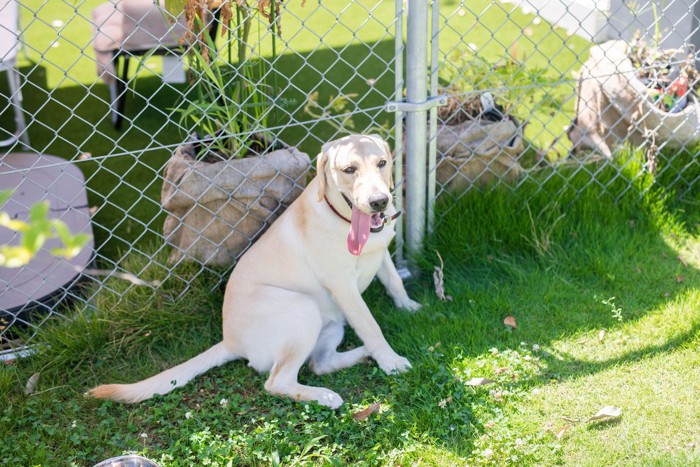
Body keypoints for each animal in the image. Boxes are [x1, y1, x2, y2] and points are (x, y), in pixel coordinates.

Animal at [92, 134, 422, 410]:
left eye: (382, 163)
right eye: (349, 169)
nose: (379, 202)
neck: (342, 218)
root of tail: (230, 341)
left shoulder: (381, 255)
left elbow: (395, 282)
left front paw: (409, 307)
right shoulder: (343, 287)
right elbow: (370, 325)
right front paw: (390, 360)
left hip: (331, 322)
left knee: (319, 364)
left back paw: (360, 355)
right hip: (303, 308)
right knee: (278, 381)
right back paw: (324, 396)